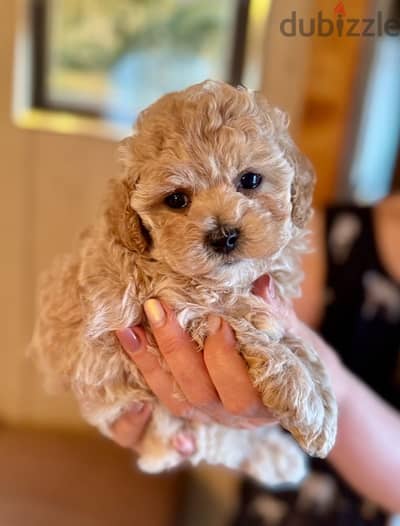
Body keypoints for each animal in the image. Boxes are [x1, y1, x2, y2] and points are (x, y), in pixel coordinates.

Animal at [31, 80, 336, 488]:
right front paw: (307, 400)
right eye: (176, 199)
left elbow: (299, 344)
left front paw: (321, 397)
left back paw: (277, 457)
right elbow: (243, 325)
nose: (224, 236)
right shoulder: (142, 314)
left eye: (250, 180)